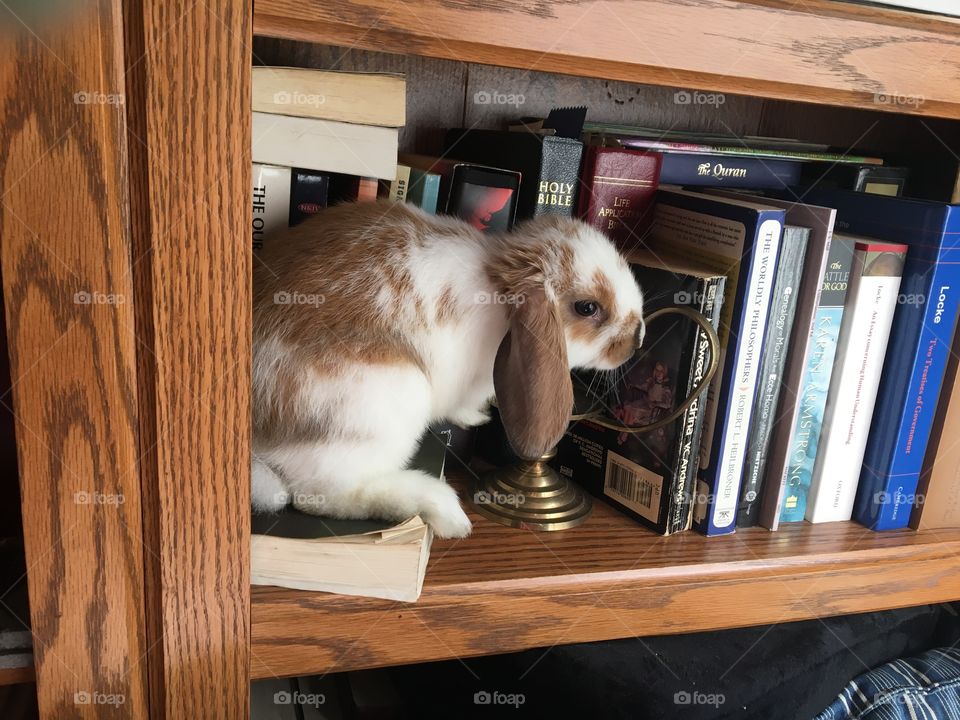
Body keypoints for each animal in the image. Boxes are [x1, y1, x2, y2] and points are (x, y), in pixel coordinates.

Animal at [251, 200, 645, 538]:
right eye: (587, 308)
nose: (638, 337)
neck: (501, 293)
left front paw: (477, 418)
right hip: (385, 400)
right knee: (322, 495)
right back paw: (442, 509)